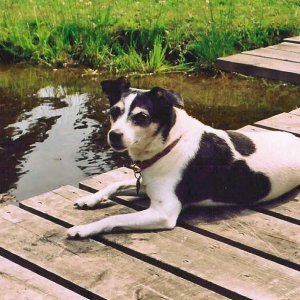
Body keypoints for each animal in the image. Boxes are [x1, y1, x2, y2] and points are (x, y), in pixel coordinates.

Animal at [67, 76, 300, 238]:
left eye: (142, 117)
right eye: (114, 112)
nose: (114, 135)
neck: (169, 144)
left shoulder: (163, 213)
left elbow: (115, 217)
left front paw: (84, 228)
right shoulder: (147, 186)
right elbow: (114, 184)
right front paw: (90, 199)